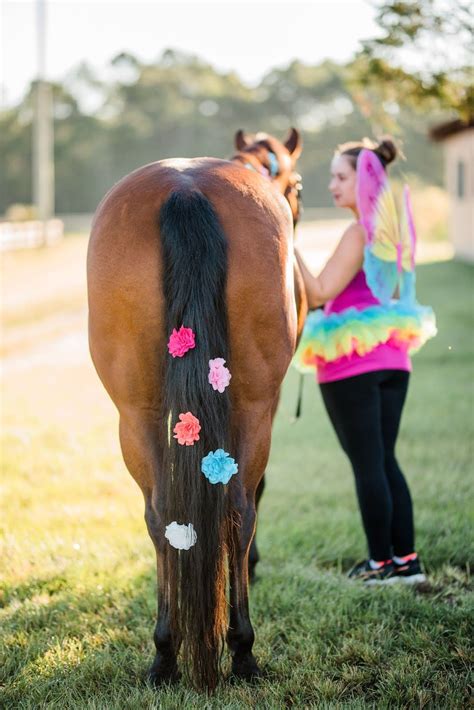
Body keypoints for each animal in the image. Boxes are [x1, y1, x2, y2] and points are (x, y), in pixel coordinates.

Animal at [87, 128, 307, 691]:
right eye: (297, 185)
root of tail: (185, 189)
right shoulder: (265, 407)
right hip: (252, 405)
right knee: (239, 509)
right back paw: (243, 651)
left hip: (135, 412)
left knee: (162, 511)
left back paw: (165, 654)